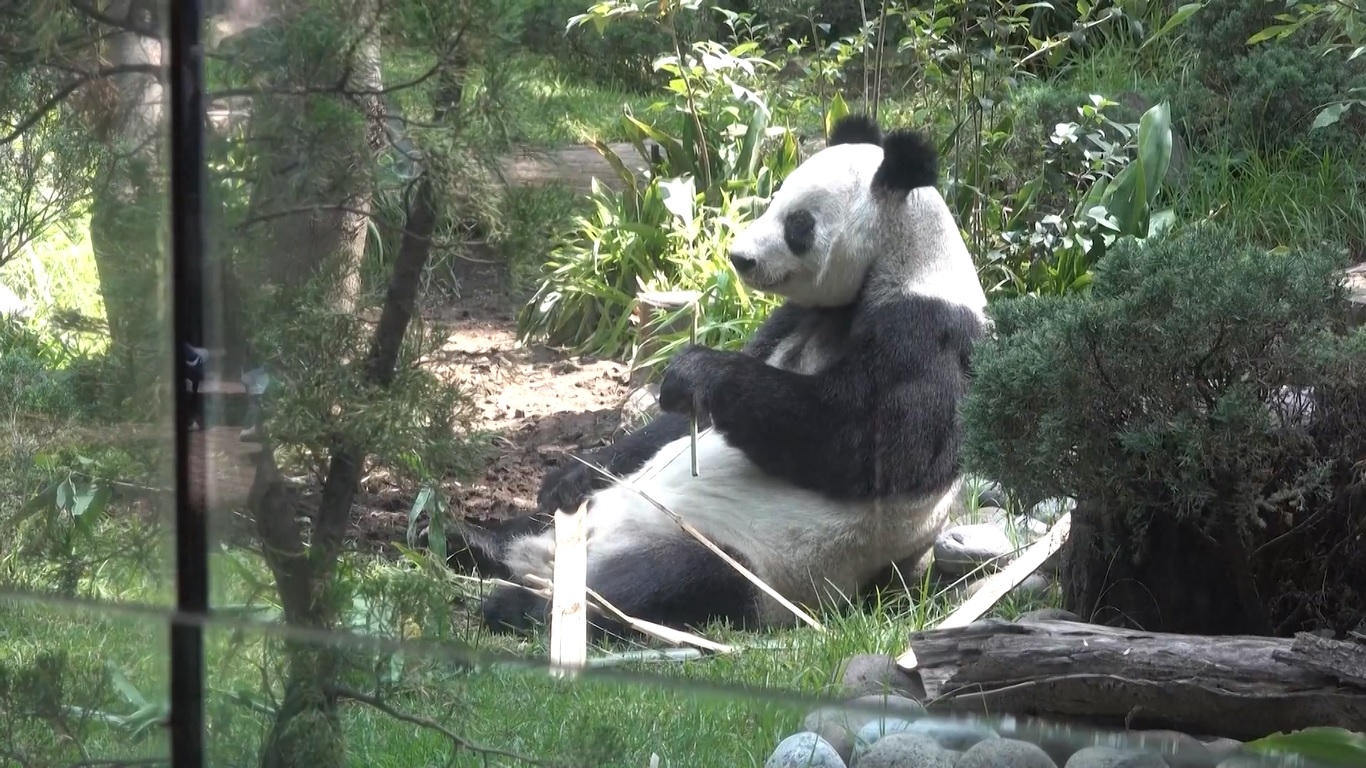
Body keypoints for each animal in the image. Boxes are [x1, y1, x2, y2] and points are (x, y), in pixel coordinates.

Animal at [469, 113, 990, 638]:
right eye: (774, 198)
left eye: (798, 223)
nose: (740, 258)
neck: (908, 261)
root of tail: (555, 556)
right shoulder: (796, 316)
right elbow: (674, 427)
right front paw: (565, 477)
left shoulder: (927, 332)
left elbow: (864, 446)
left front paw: (695, 371)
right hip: (592, 516)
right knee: (534, 525)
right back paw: (471, 539)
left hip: (753, 562)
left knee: (663, 581)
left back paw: (525, 604)